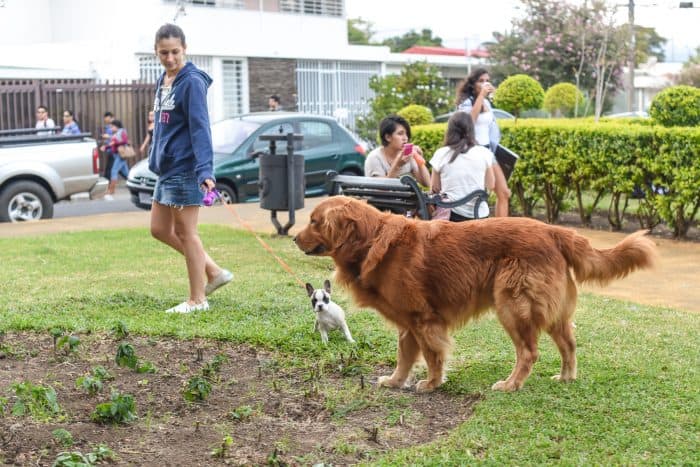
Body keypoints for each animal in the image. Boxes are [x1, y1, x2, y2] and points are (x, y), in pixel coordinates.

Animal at [294, 196, 656, 394]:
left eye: (314, 221)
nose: (295, 238)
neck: (371, 240)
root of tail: (555, 231)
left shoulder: (424, 320)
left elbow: (432, 355)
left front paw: (432, 383)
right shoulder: (408, 323)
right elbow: (405, 356)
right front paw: (396, 382)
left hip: (512, 305)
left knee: (529, 352)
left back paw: (511, 384)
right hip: (551, 311)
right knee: (568, 343)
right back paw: (566, 377)